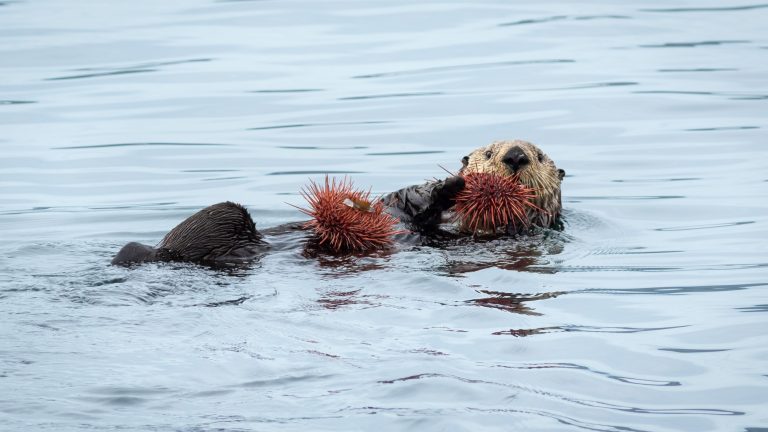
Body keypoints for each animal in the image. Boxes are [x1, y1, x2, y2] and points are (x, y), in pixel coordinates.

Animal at [112, 140, 563, 266]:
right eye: (488, 152)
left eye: (540, 155)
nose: (516, 156)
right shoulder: (402, 205)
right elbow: (404, 200)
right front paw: (450, 183)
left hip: (221, 220)